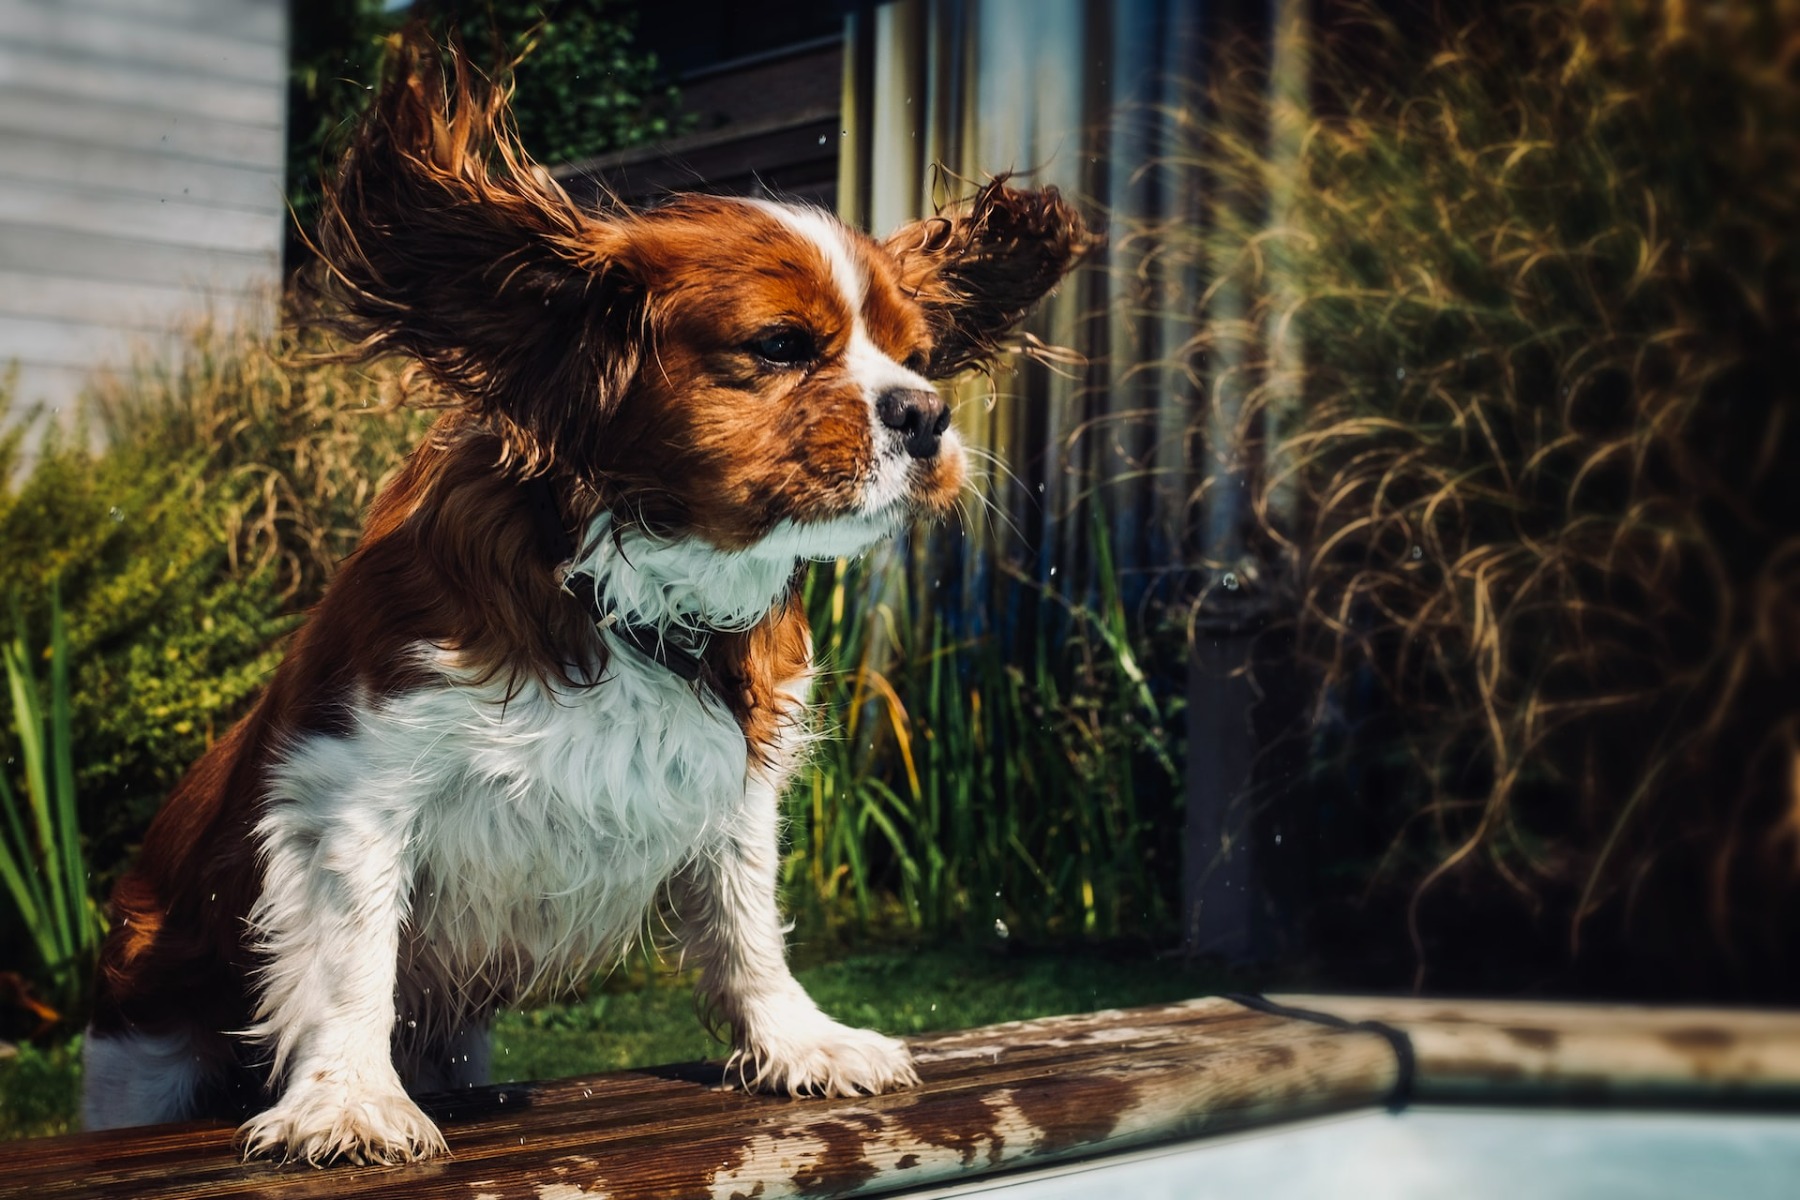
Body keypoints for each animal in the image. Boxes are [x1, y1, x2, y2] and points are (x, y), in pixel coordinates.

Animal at [81, 37, 1094, 1165]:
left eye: (916, 358)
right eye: (781, 346)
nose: (926, 414)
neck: (635, 590)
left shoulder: (735, 793)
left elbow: (748, 922)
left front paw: (797, 1040)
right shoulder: (351, 787)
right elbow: (351, 956)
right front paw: (347, 1100)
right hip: (136, 1058)